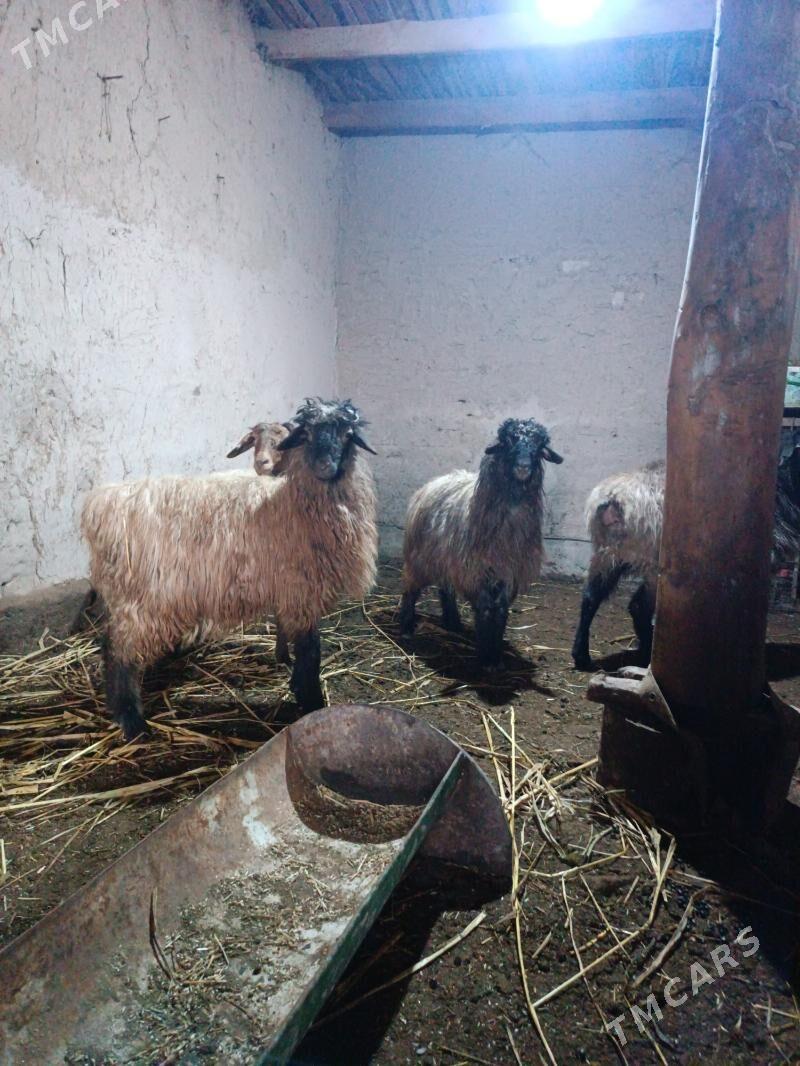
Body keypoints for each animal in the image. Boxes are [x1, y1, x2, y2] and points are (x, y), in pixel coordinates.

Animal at [81, 399, 378, 739]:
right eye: (306, 434)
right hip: (145, 598)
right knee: (119, 651)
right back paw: (131, 720)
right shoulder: (299, 591)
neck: (291, 501)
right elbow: (311, 651)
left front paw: (297, 685)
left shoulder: (294, 594)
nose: (325, 466)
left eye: (347, 433)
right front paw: (312, 701)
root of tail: (101, 504)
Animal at [399, 418, 563, 670]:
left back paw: (453, 623)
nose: (523, 466)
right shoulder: (477, 571)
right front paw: (486, 657)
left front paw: (496, 655)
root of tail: (436, 481)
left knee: (446, 588)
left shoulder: (509, 572)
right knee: (411, 587)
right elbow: (486, 609)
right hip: (421, 555)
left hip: (448, 559)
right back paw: (406, 626)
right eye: (508, 441)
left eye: (539, 444)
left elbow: (502, 610)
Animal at [571, 445, 800, 670]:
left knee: (592, 597)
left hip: (608, 554)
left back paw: (583, 656)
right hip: (652, 559)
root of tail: (612, 500)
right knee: (638, 606)